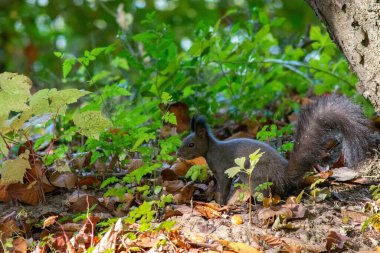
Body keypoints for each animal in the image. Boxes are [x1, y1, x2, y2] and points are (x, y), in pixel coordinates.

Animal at [177, 94, 372, 205]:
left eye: (191, 144)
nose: (178, 154)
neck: (212, 150)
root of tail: (284, 175)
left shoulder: (223, 171)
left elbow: (224, 187)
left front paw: (220, 204)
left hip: (257, 177)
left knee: (267, 195)